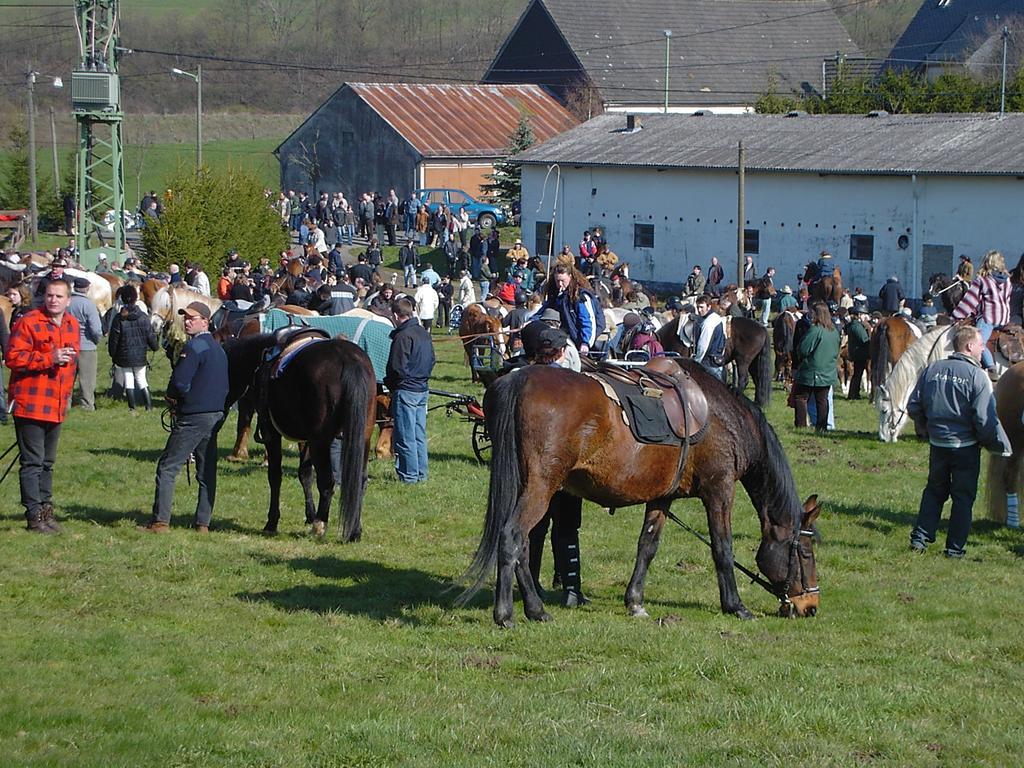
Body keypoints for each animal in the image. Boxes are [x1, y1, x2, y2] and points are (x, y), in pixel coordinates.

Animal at [460, 360, 819, 626]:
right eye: (805, 552)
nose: (811, 606)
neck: (724, 418)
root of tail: (518, 379)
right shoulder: (719, 488)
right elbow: (722, 548)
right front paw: (736, 605)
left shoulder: (662, 496)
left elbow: (647, 546)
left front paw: (635, 602)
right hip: (541, 487)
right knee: (512, 537)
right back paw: (506, 614)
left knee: (523, 544)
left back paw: (535, 609)